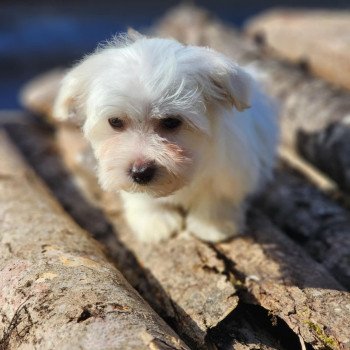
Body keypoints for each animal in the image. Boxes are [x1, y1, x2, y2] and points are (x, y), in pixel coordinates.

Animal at [54, 32, 278, 243]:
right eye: (115, 121)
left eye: (171, 122)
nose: (140, 173)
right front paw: (153, 221)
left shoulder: (230, 169)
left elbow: (218, 194)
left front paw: (213, 224)